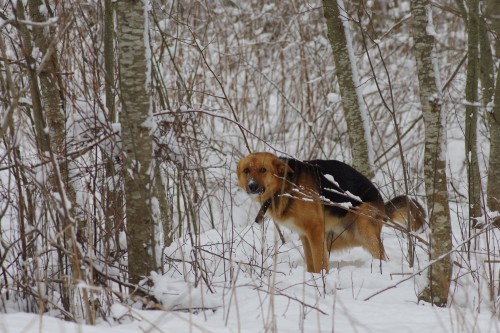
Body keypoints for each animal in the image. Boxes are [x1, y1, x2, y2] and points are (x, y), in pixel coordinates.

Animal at [236, 152, 424, 272]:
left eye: (263, 170)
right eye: (246, 171)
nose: (252, 186)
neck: (286, 185)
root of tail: (382, 203)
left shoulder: (315, 230)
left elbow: (319, 263)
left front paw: (321, 280)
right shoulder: (305, 235)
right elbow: (311, 263)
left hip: (363, 229)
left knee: (381, 256)